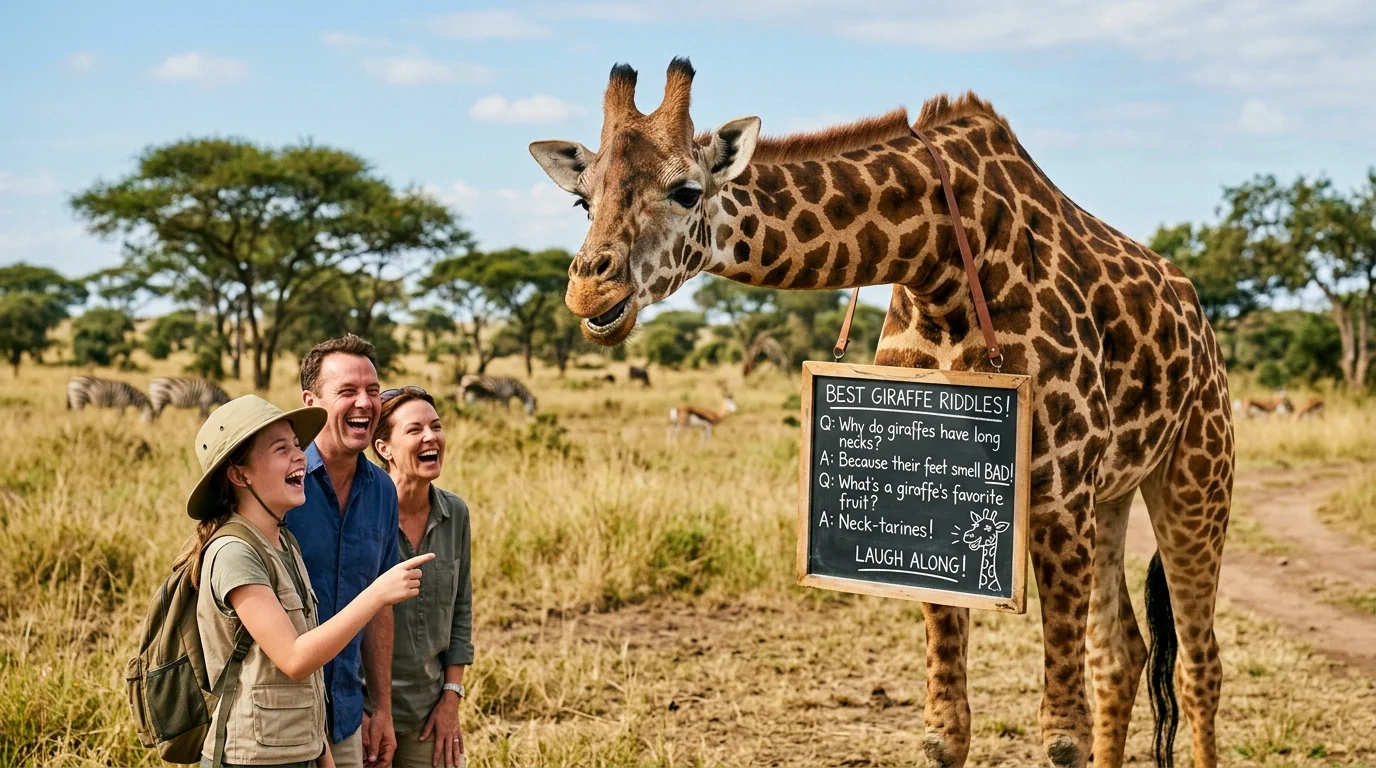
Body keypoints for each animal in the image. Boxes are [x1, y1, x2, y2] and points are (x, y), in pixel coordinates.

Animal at [529, 59, 1234, 768]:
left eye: (686, 190)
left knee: (1198, 663)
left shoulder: (1058, 489)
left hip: (1195, 475)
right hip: (1110, 493)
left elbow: (1063, 736)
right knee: (1119, 653)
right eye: (582, 201)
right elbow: (945, 732)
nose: (590, 289)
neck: (940, 268)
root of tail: (1202, 323)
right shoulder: (945, 506)